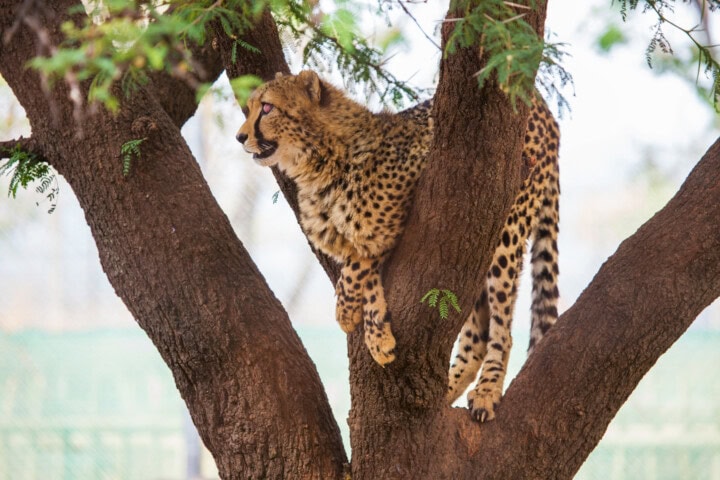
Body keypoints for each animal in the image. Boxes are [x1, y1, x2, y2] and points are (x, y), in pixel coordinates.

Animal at [236, 70, 560, 422]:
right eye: (249, 108)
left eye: (267, 108)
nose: (240, 137)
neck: (319, 160)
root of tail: (542, 105)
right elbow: (366, 273)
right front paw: (378, 335)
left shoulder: (410, 200)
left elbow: (359, 260)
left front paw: (345, 312)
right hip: (472, 242)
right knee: (476, 333)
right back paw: (446, 389)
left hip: (502, 227)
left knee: (502, 328)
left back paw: (488, 390)